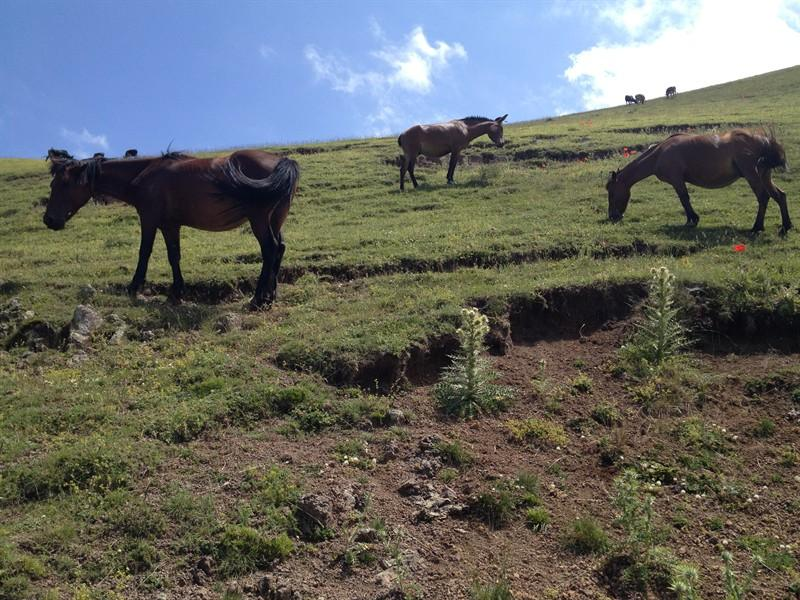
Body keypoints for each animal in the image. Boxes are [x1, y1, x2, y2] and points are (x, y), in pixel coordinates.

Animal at [43, 148, 300, 308]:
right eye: (53, 183)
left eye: (63, 183)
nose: (49, 220)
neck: (145, 175)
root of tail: (282, 161)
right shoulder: (169, 225)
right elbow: (173, 256)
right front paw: (176, 292)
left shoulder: (149, 219)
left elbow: (144, 252)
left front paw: (134, 287)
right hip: (275, 220)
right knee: (280, 248)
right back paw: (269, 296)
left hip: (259, 220)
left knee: (270, 249)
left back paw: (257, 299)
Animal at [608, 129, 788, 234]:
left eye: (611, 192)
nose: (612, 217)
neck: (659, 153)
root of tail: (764, 140)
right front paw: (691, 220)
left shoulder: (677, 180)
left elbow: (684, 199)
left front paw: (692, 220)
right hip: (764, 176)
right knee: (780, 196)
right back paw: (786, 226)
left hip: (752, 175)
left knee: (763, 197)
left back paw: (757, 227)